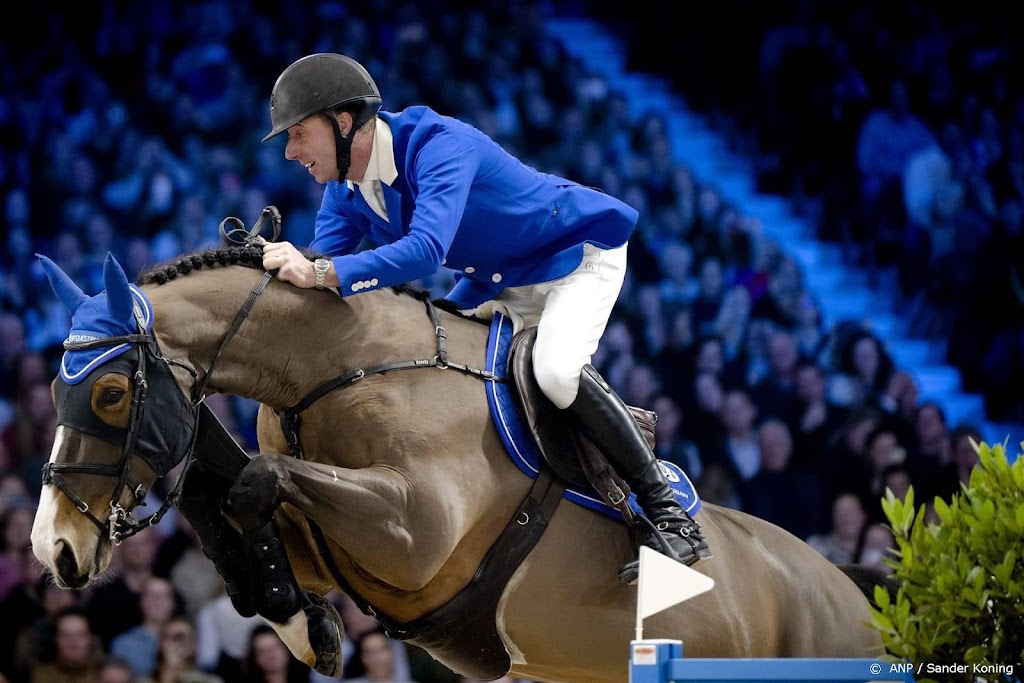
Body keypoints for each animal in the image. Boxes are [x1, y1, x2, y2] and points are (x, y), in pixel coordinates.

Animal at [28, 240, 884, 683]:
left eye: (110, 391)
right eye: (51, 389)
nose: (51, 549)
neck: (330, 370)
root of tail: (857, 593)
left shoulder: (414, 537)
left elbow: (252, 481)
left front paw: (309, 627)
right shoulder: (332, 543)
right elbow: (232, 506)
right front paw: (304, 623)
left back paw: (673, 529)